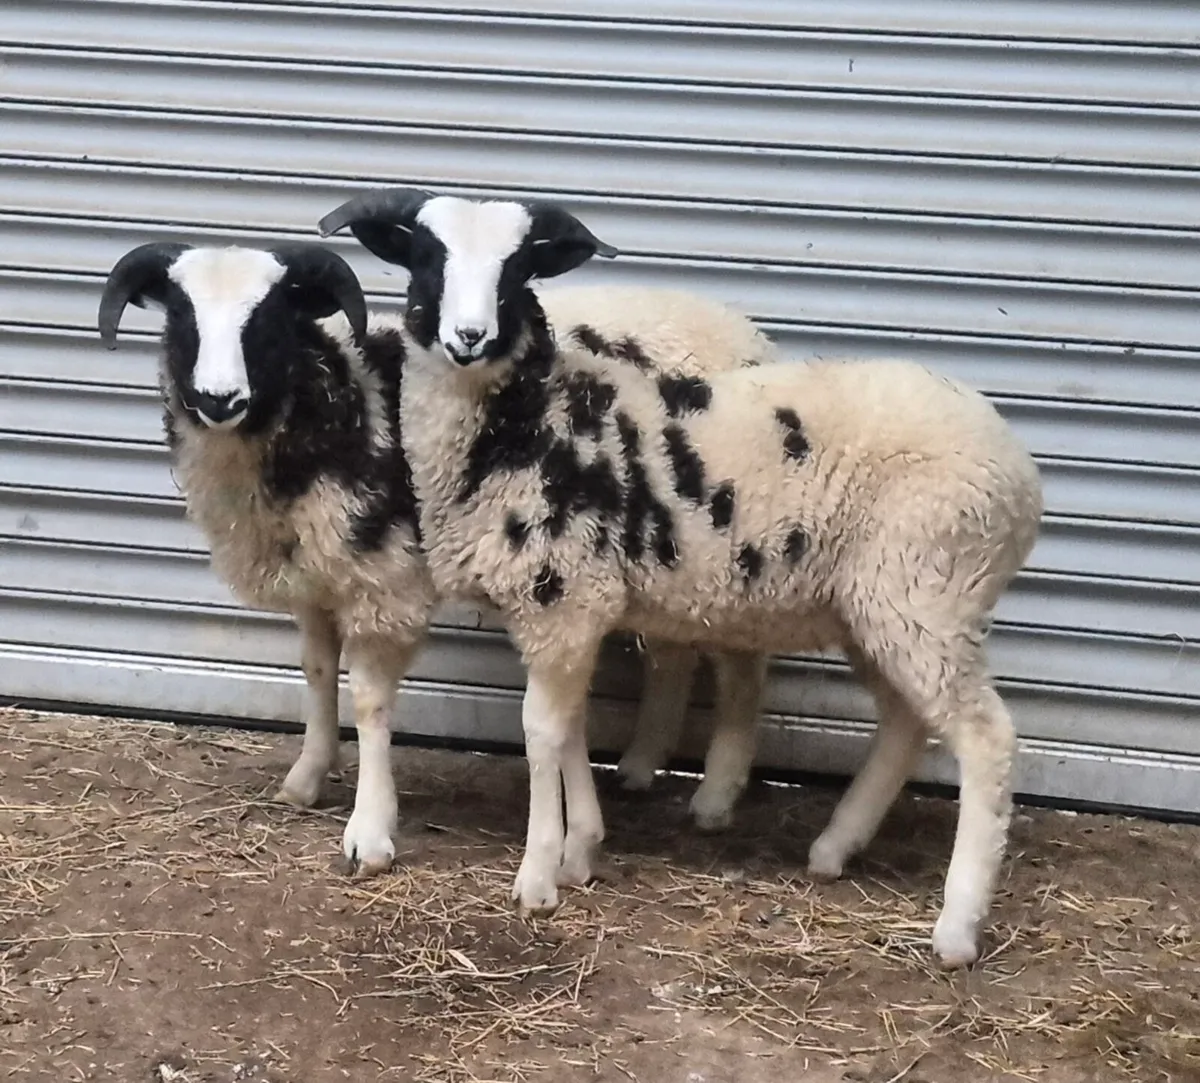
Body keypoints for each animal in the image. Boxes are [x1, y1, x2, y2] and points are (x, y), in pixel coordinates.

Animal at [96, 241, 772, 879]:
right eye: (180, 315)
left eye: (270, 317)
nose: (218, 399)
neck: (332, 396)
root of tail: (744, 334)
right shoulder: (318, 572)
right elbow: (316, 670)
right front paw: (308, 776)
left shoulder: (384, 578)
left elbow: (369, 700)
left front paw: (369, 832)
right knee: (675, 653)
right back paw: (639, 765)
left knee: (739, 666)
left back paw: (715, 796)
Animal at [318, 187, 1045, 967]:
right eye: (427, 259)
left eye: (517, 271)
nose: (470, 336)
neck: (526, 418)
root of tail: (1020, 475)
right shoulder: (574, 606)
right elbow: (571, 728)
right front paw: (582, 850)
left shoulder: (562, 596)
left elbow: (542, 732)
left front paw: (538, 875)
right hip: (879, 606)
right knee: (907, 721)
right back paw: (835, 847)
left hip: (927, 589)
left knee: (987, 739)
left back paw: (957, 927)